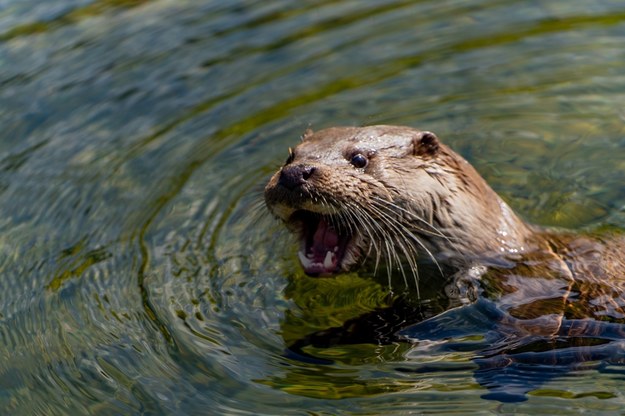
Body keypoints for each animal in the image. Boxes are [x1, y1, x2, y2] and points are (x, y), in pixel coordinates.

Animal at [266, 124, 624, 404]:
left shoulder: (535, 281)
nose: (295, 173)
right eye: (290, 156)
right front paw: (319, 339)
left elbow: (535, 327)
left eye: (359, 159)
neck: (490, 249)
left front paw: (506, 378)